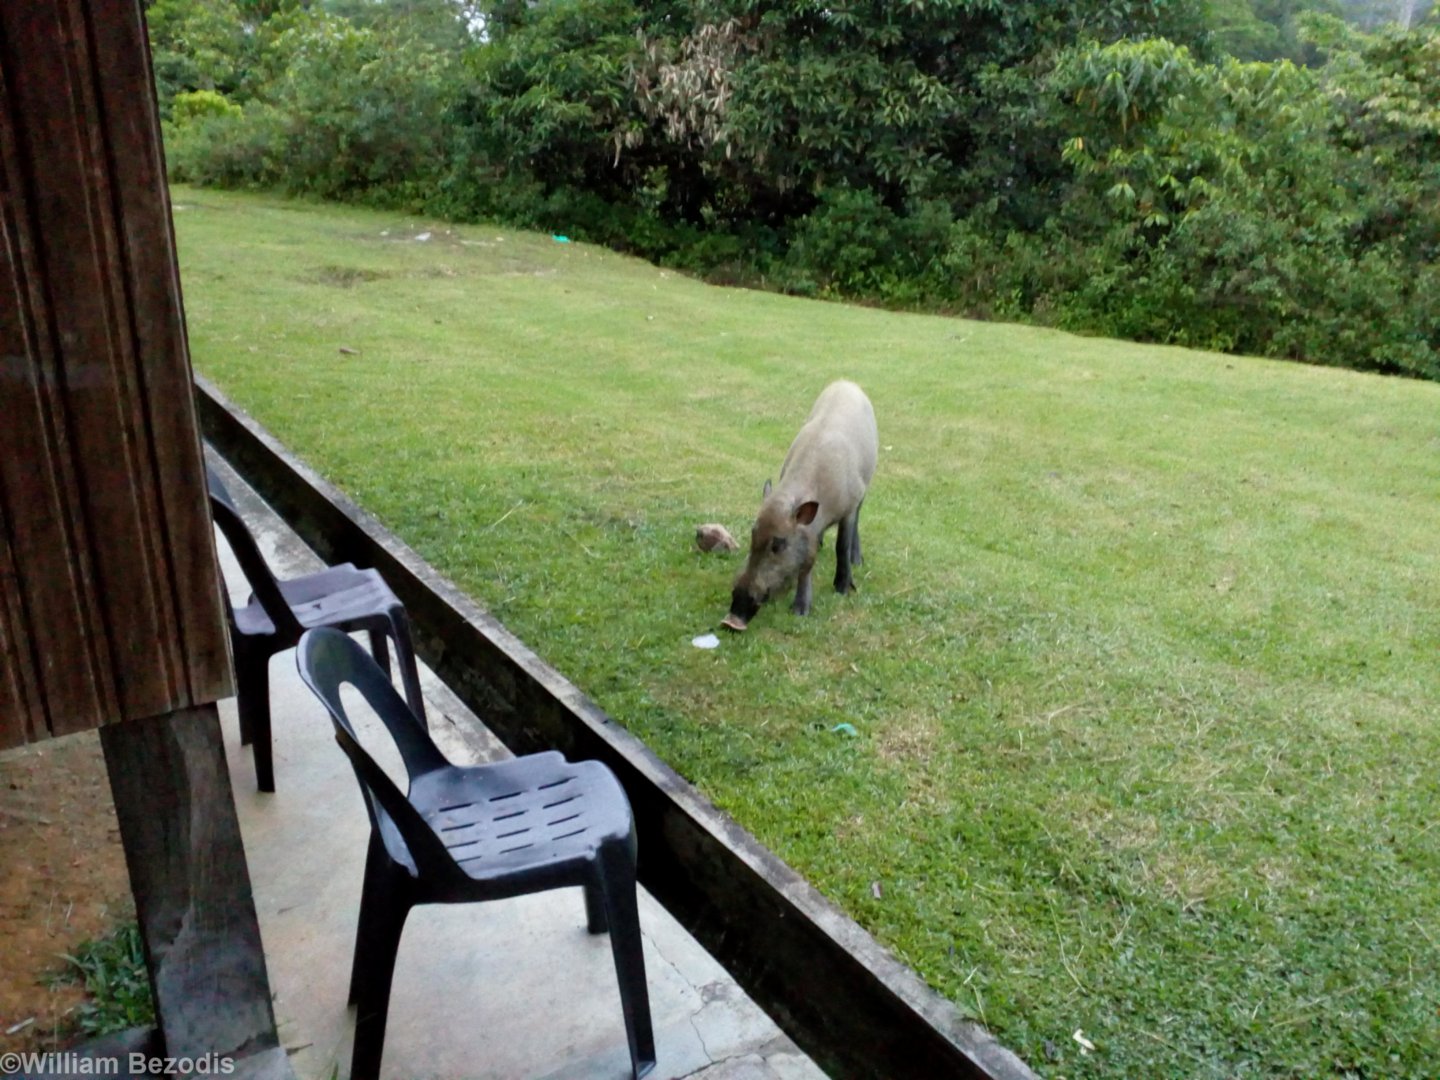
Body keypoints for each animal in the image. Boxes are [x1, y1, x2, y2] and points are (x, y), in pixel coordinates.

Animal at [721, 380, 877, 631]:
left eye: (778, 544)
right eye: (752, 535)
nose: (730, 620)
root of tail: (846, 382)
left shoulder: (849, 506)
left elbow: (839, 546)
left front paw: (839, 591)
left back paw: (857, 560)